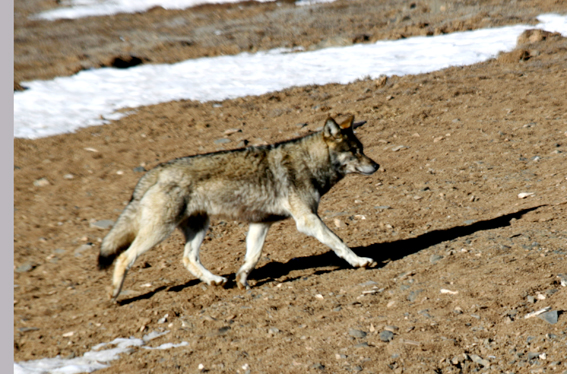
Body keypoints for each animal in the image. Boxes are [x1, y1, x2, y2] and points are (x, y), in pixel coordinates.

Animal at [98, 115, 380, 300]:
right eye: (354, 151)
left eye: (362, 149)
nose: (377, 166)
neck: (310, 163)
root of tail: (155, 170)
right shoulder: (307, 220)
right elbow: (339, 242)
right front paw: (360, 261)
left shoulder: (260, 224)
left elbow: (252, 257)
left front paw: (241, 281)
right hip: (159, 231)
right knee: (124, 257)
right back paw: (114, 294)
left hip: (198, 228)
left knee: (188, 258)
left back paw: (215, 280)